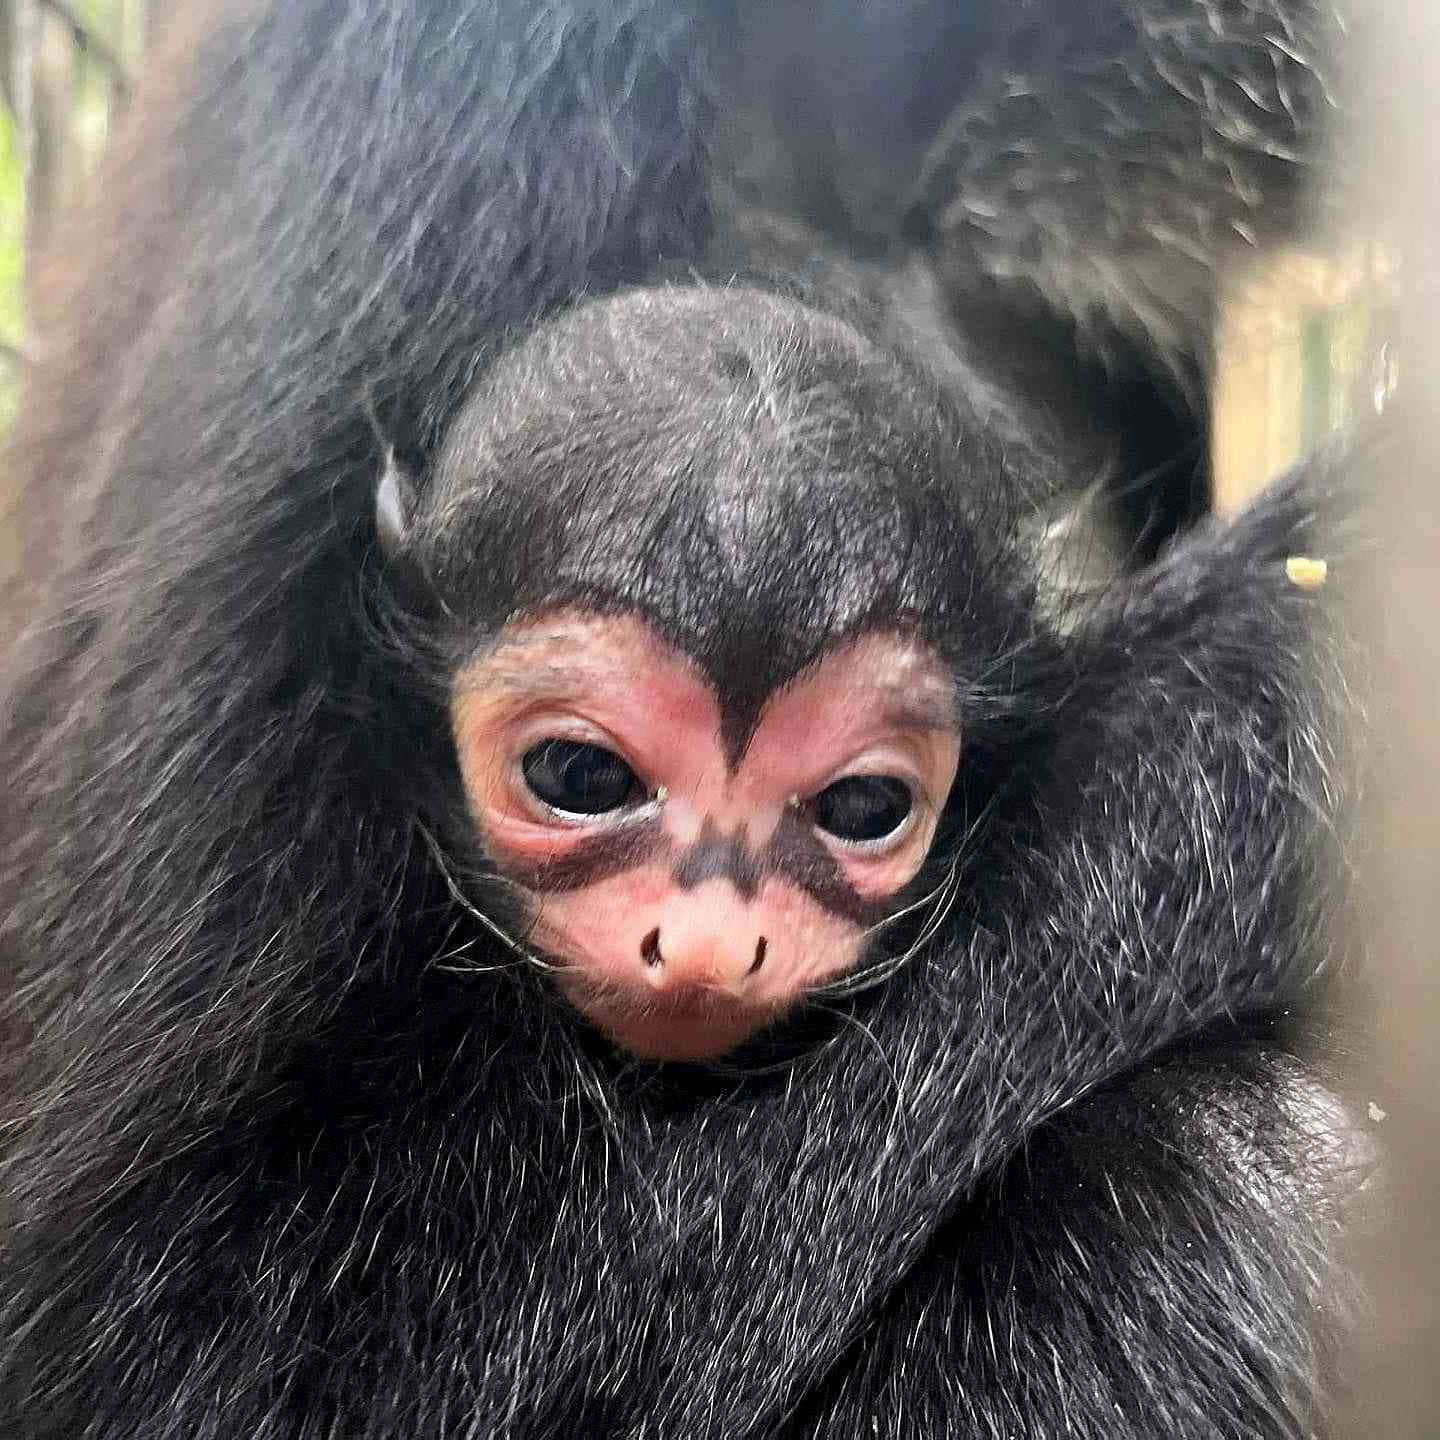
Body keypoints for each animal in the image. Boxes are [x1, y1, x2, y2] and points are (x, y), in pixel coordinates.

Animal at [0, 2, 1363, 1436]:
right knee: (1233, 1165)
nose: (710, 938)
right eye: (582, 776)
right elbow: (169, 1351)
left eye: (863, 806)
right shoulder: (467, 80)